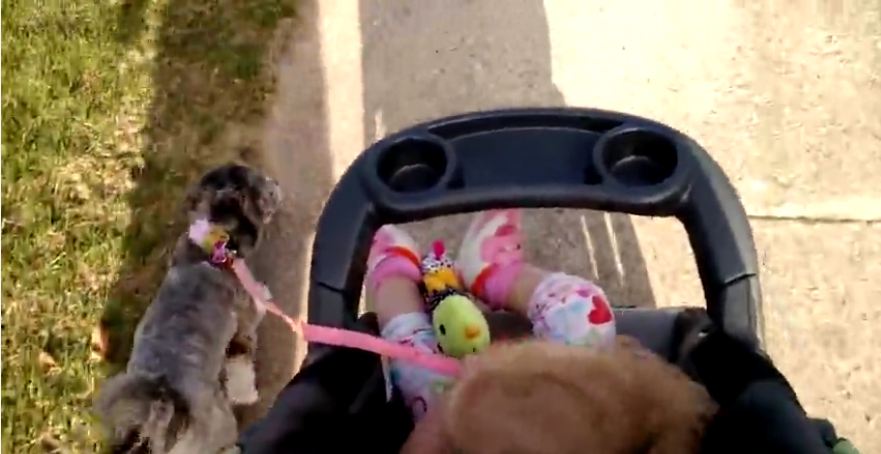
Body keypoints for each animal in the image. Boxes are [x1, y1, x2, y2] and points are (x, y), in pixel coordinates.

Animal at [96, 164, 282, 454]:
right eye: (263, 189)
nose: (276, 184)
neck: (214, 243)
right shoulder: (243, 322)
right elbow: (241, 365)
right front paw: (248, 394)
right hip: (220, 423)